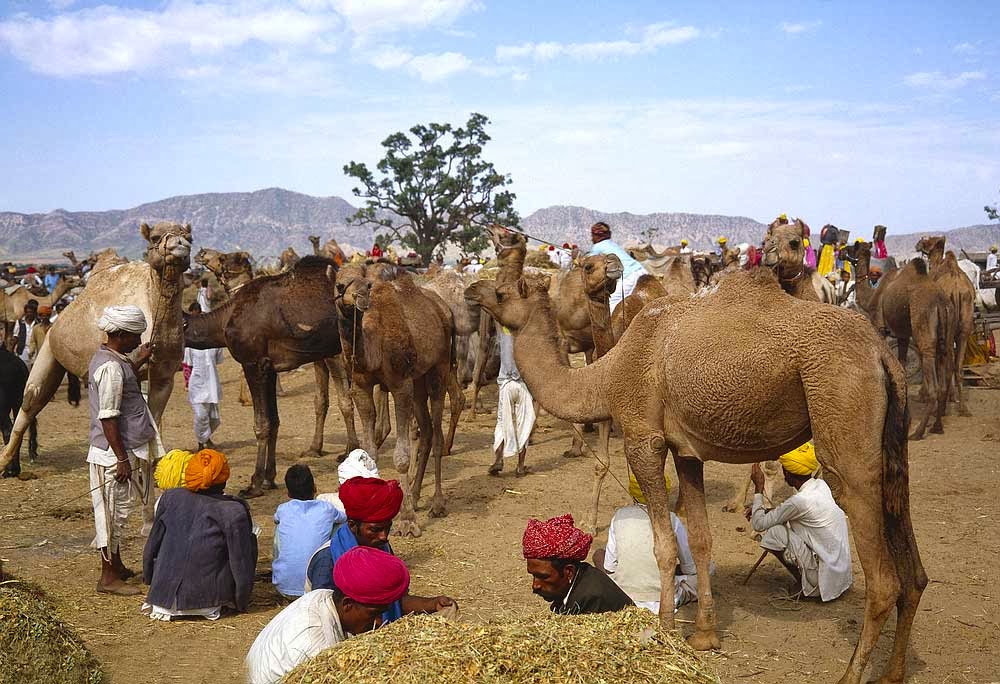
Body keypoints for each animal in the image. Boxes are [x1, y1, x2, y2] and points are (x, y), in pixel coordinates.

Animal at [0, 223, 191, 480]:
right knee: (30, 402)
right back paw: (6, 463)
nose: (179, 244)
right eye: (155, 237)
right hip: (49, 348)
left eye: (189, 236)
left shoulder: (164, 376)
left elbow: (154, 419)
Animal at [334, 265, 457, 537]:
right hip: (419, 380)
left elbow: (401, 456)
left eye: (366, 283)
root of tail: (445, 309)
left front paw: (407, 522)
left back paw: (437, 504)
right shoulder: (361, 387)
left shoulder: (401, 386)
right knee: (427, 431)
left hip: (440, 368)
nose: (359, 296)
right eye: (339, 284)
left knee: (437, 433)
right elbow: (370, 452)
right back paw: (416, 494)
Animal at [465, 268, 926, 684]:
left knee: (882, 577)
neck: (607, 376)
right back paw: (892, 673)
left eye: (502, 290)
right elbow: (701, 541)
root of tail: (880, 352)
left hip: (841, 414)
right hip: (891, 443)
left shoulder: (644, 439)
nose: (472, 289)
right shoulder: (687, 451)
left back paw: (852, 674)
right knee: (912, 566)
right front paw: (705, 634)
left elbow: (665, 545)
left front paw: (666, 631)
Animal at [844, 241, 952, 440]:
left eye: (852, 247)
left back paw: (918, 432)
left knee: (933, 382)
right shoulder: (902, 335)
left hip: (923, 323)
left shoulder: (879, 327)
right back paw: (937, 427)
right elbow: (901, 365)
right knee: (942, 376)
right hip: (946, 335)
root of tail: (940, 302)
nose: (840, 252)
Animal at [916, 236, 975, 417]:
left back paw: (942, 407)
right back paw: (962, 408)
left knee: (948, 362)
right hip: (965, 326)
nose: (917, 244)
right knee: (957, 365)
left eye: (926, 240)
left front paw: (924, 395)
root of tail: (956, 289)